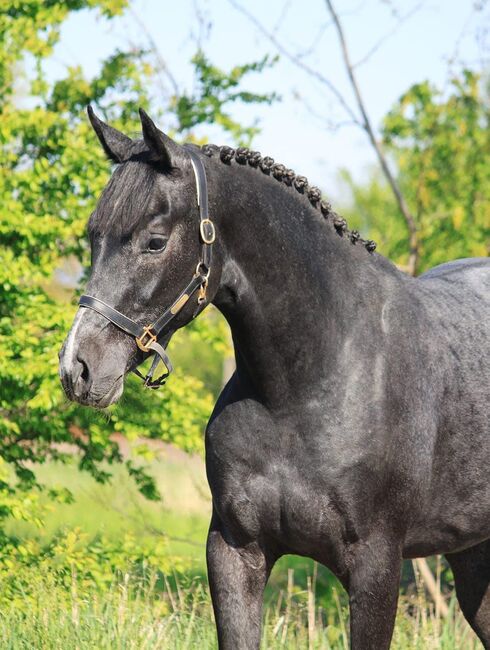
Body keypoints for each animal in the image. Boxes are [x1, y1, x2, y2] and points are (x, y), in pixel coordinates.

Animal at [60, 109, 490, 644]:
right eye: (93, 236)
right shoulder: (234, 551)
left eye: (154, 242)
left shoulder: (376, 566)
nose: (78, 367)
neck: (304, 391)